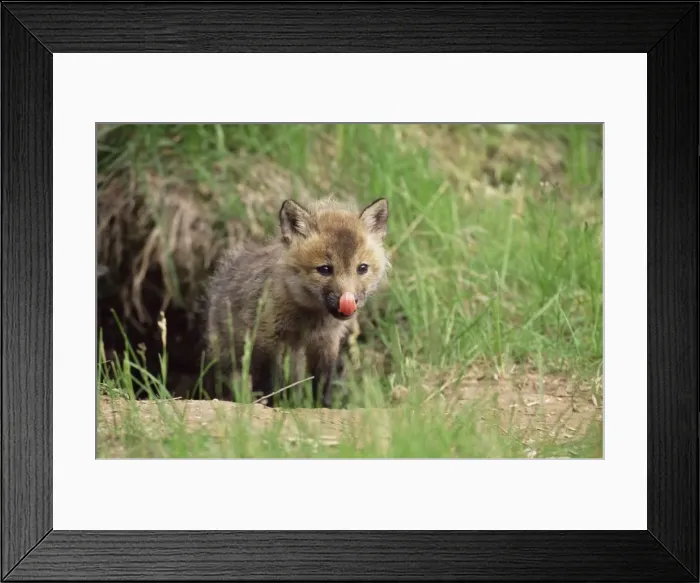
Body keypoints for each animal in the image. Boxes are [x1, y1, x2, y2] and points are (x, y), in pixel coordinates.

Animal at [204, 196, 390, 408]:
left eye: (362, 268)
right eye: (325, 269)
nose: (349, 301)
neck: (308, 320)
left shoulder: (326, 343)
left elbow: (323, 381)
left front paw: (322, 405)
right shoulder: (267, 340)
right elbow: (269, 382)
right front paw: (271, 405)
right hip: (228, 355)